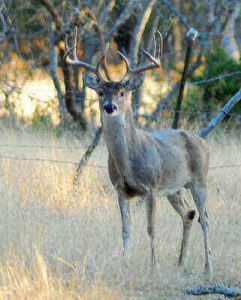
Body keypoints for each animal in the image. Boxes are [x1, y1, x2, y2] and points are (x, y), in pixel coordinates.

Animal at [64, 28, 213, 276]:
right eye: (101, 92)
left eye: (123, 92)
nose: (110, 107)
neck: (128, 162)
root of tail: (202, 141)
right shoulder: (121, 189)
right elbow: (126, 228)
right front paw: (125, 265)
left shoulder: (151, 186)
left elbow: (151, 228)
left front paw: (153, 266)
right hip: (175, 188)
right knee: (189, 213)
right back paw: (180, 262)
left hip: (200, 180)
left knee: (206, 218)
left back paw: (208, 267)